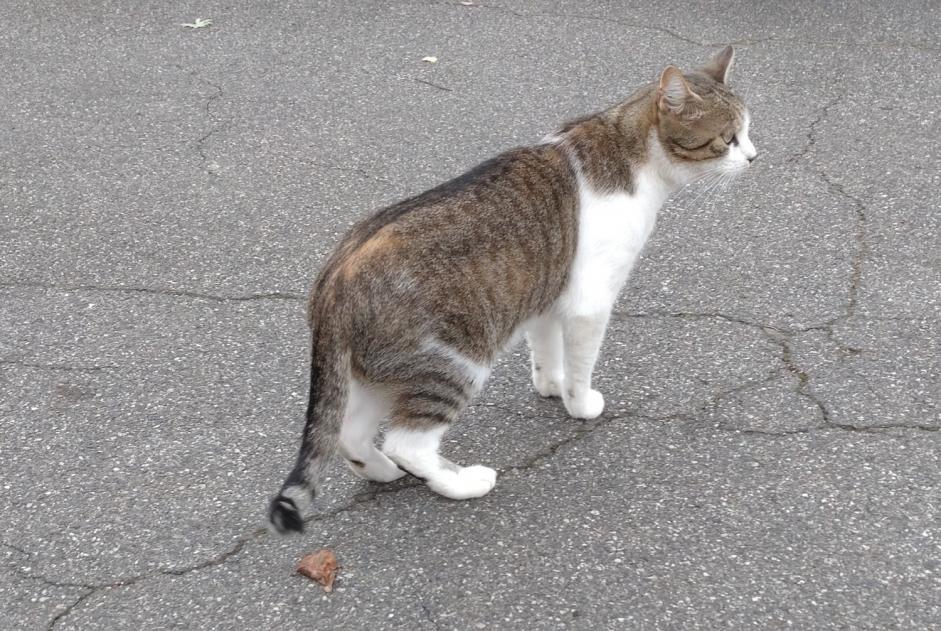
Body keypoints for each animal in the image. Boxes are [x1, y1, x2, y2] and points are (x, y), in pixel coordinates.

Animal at [266, 45, 756, 532]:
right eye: (728, 138)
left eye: (748, 131)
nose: (754, 157)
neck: (628, 151)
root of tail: (333, 280)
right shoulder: (590, 303)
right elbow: (581, 366)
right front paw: (579, 403)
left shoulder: (545, 292)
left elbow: (547, 351)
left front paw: (551, 384)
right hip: (453, 363)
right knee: (408, 444)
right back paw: (459, 482)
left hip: (381, 372)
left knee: (349, 435)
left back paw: (383, 472)